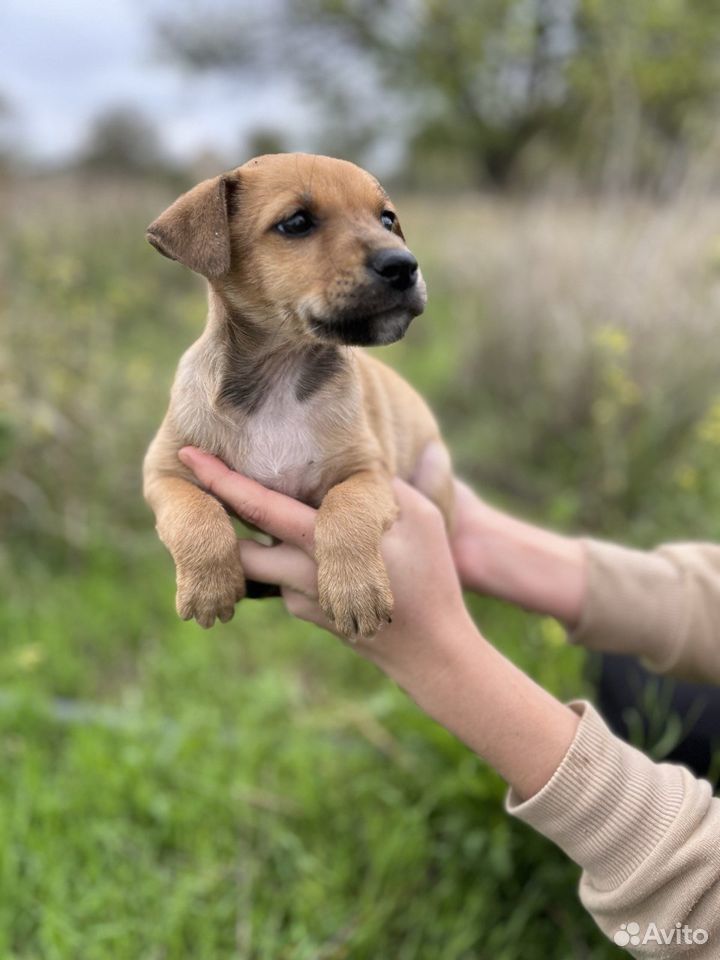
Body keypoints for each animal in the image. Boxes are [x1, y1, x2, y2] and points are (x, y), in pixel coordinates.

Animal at [143, 152, 452, 636]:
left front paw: (356, 592)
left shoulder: (369, 473)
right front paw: (209, 587)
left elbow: (346, 510)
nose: (404, 265)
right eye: (297, 223)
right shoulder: (164, 470)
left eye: (387, 219)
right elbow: (194, 513)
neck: (282, 374)